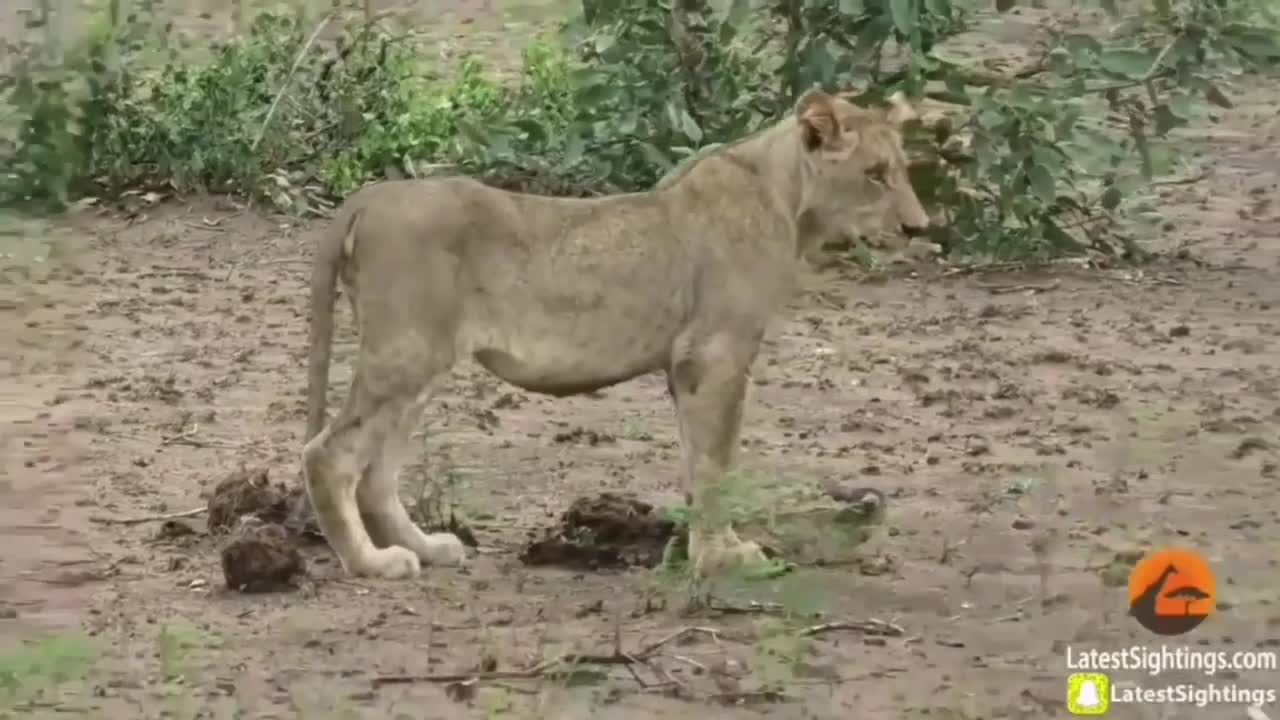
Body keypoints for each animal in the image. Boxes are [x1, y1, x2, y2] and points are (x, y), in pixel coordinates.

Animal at [304, 87, 936, 576]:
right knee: (328, 454)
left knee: (375, 470)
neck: (788, 198)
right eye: (875, 175)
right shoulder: (717, 353)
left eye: (902, 170)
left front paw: (694, 549)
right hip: (406, 354)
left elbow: (697, 461)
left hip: (423, 365)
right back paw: (370, 563)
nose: (919, 227)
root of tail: (370, 195)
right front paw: (724, 558)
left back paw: (428, 548)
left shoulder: (687, 366)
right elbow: (717, 463)